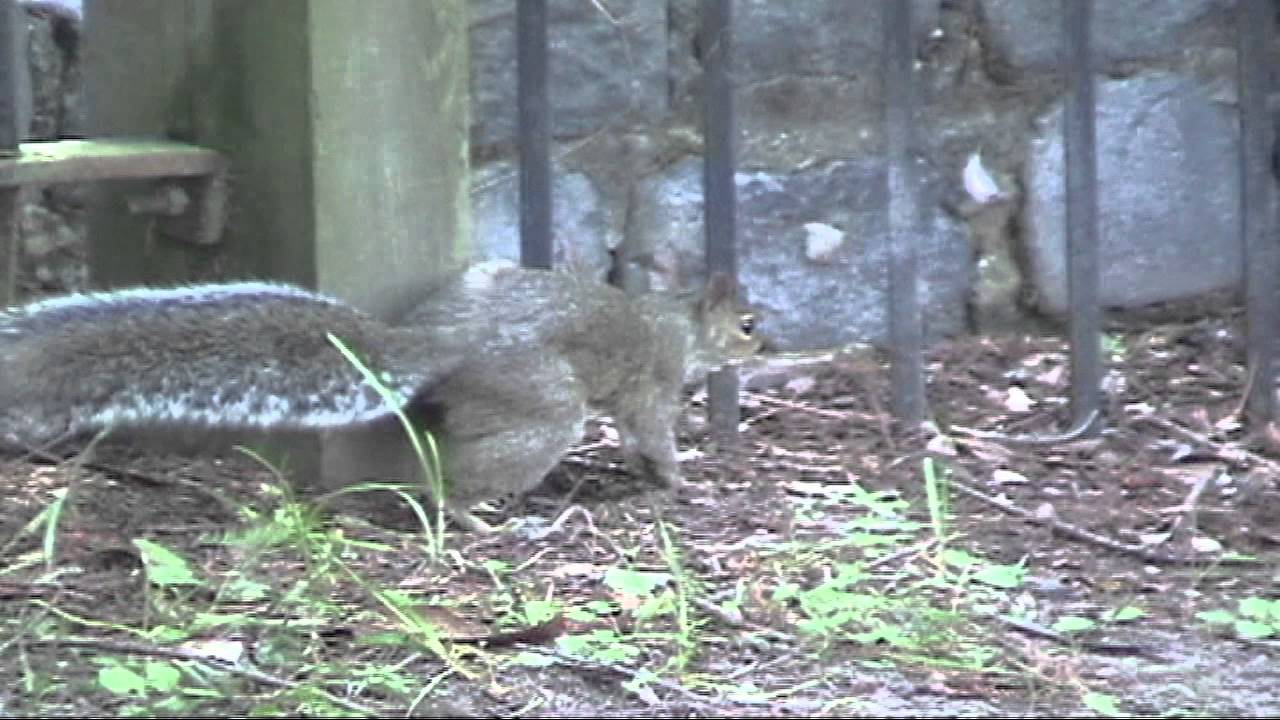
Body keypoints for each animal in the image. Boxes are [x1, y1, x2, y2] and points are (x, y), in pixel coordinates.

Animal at [0, 261, 762, 530]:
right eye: (749, 324)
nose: (766, 345)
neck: (680, 319)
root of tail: (435, 341)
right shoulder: (655, 381)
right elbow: (653, 435)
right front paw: (679, 482)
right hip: (546, 405)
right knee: (457, 480)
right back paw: (483, 520)